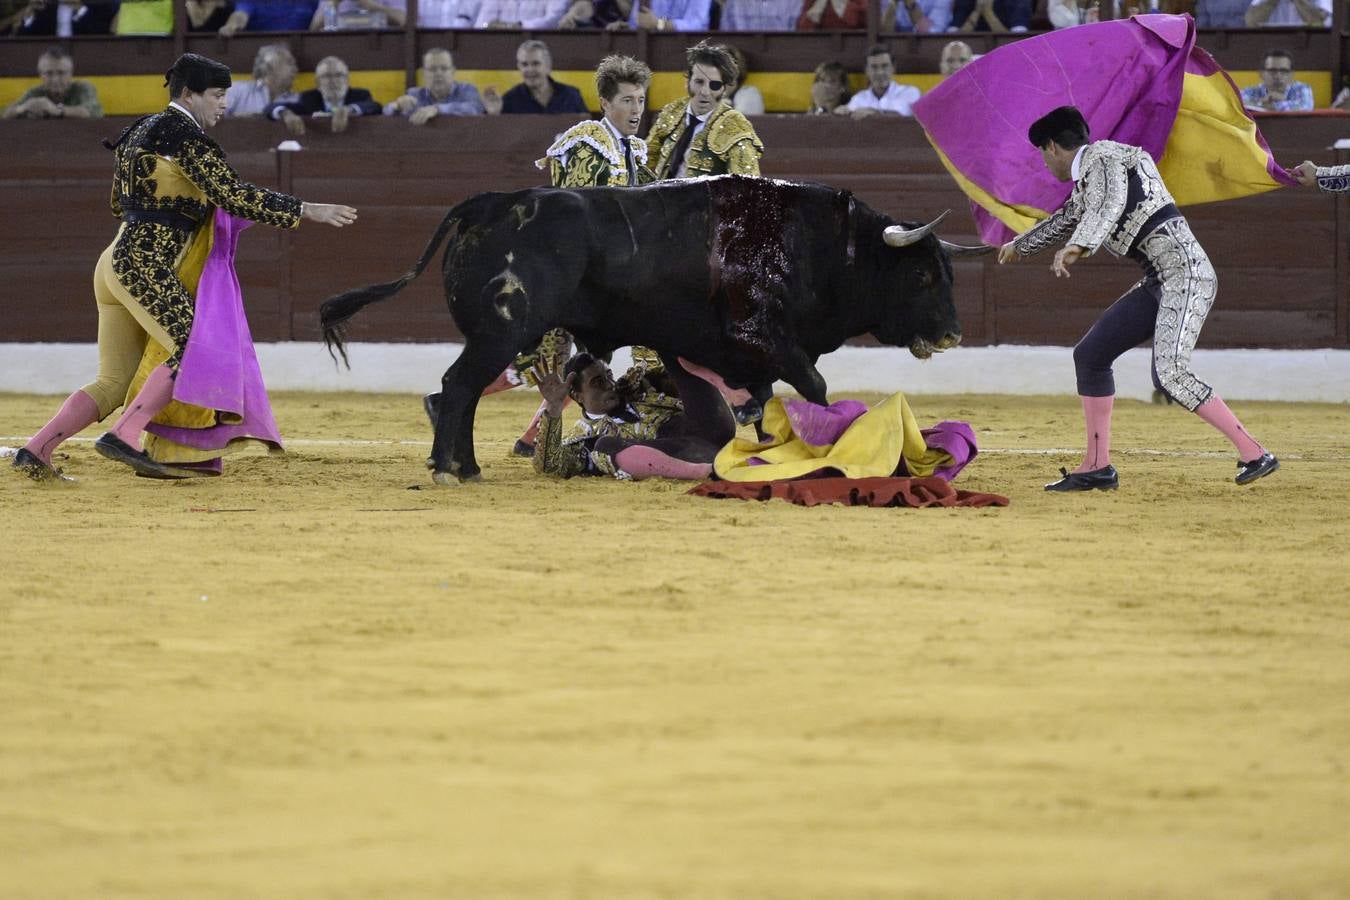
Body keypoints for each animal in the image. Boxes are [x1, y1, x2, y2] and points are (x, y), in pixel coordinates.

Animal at [319, 175, 988, 485]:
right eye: (923, 274)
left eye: (950, 273)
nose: (953, 336)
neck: (820, 245)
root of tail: (486, 204)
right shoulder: (769, 339)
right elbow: (816, 390)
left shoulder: (755, 356)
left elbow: (763, 403)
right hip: (498, 334)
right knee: (458, 388)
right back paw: (449, 468)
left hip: (495, 337)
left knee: (457, 392)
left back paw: (467, 466)